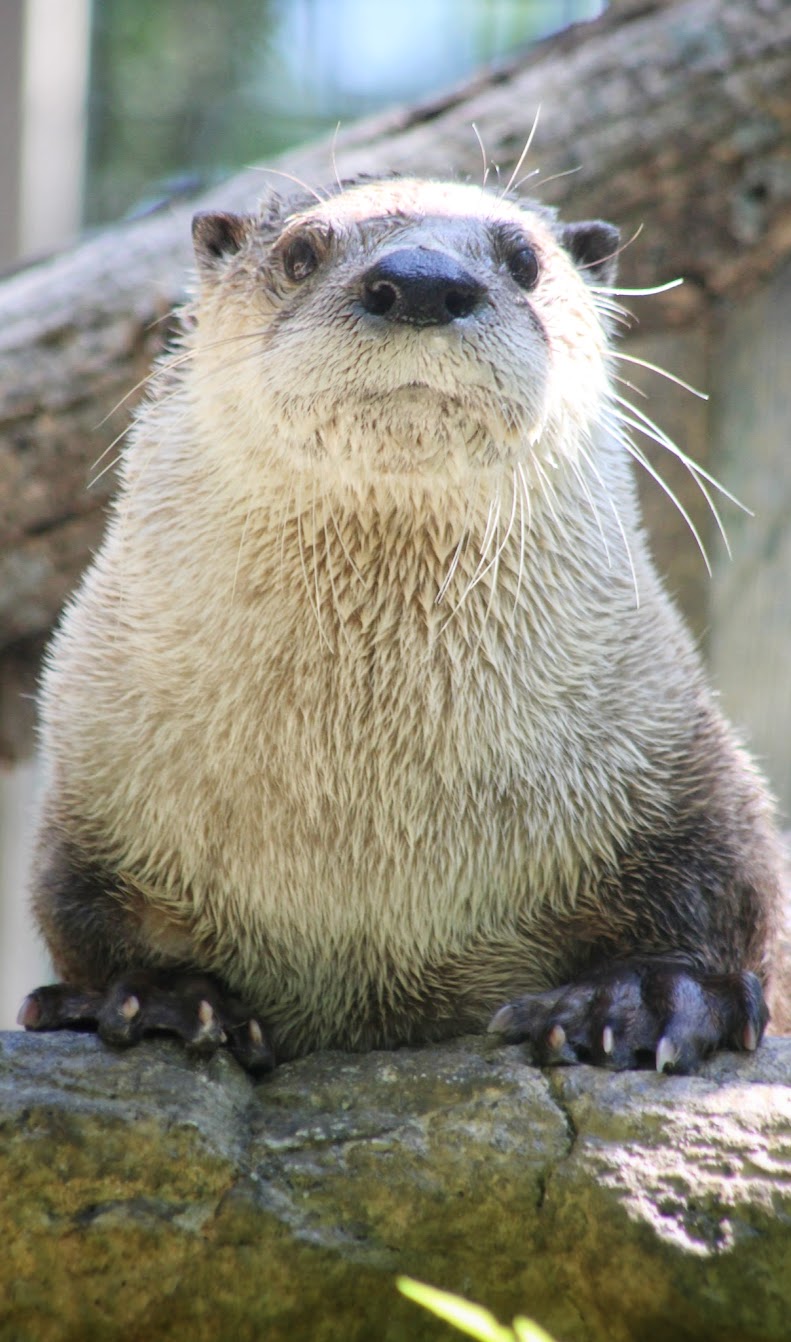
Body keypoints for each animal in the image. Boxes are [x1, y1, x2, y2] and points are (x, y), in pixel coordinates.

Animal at [20, 176, 785, 1075]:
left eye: (523, 259)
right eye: (300, 251)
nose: (421, 281)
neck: (375, 827)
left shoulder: (670, 745)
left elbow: (728, 890)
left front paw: (646, 996)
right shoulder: (94, 779)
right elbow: (81, 913)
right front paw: (159, 999)